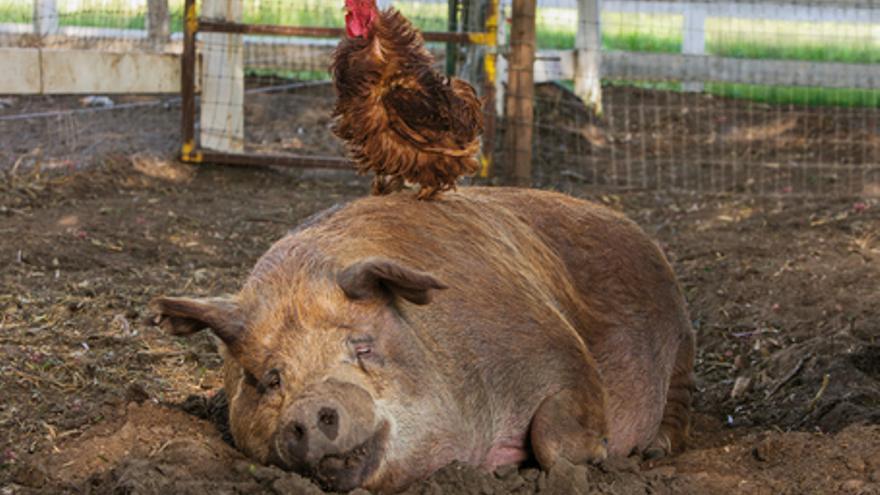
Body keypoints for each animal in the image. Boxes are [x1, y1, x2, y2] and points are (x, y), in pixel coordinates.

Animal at [155, 188, 696, 494]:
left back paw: (653, 452)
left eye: (363, 346)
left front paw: (596, 458)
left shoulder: (561, 351)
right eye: (269, 378)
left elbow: (555, 434)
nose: (310, 408)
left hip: (683, 340)